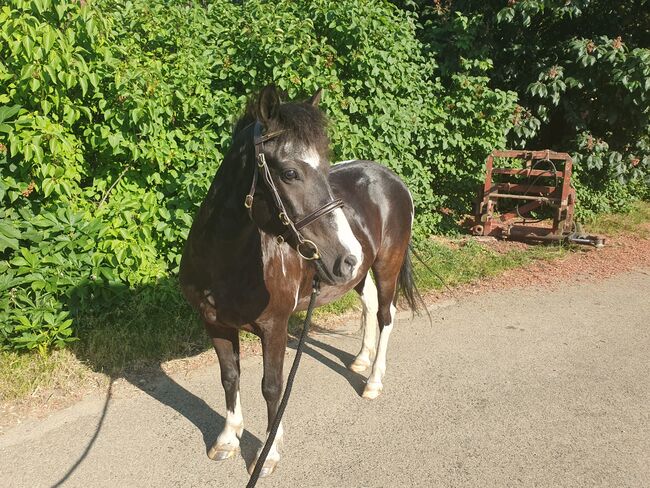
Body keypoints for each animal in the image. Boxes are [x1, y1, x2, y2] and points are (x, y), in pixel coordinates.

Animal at [180, 84, 418, 476]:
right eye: (290, 173)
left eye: (325, 168)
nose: (346, 256)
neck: (224, 263)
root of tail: (391, 179)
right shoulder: (213, 322)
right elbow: (229, 376)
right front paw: (227, 439)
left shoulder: (274, 326)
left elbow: (272, 387)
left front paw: (268, 454)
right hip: (361, 273)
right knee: (369, 306)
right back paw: (360, 360)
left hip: (386, 265)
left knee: (386, 315)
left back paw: (373, 381)